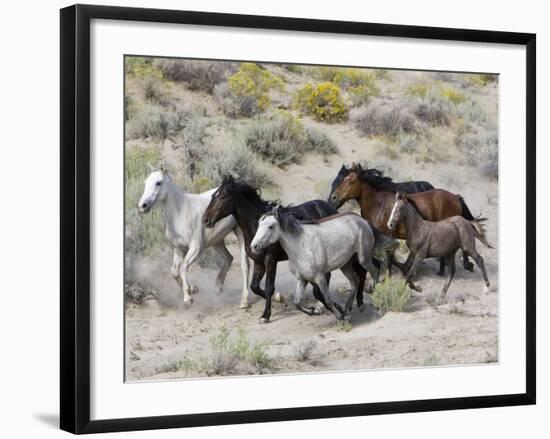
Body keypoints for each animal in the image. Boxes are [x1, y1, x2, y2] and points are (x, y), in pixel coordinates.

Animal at [138, 167, 252, 308]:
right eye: (146, 182)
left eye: (158, 183)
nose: (142, 206)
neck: (181, 213)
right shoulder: (178, 248)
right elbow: (174, 272)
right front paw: (193, 290)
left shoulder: (196, 248)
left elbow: (183, 267)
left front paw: (188, 298)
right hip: (217, 240)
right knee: (228, 258)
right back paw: (218, 288)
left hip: (240, 234)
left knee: (245, 265)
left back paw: (244, 300)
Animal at [252, 208, 382, 322]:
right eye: (258, 225)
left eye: (270, 226)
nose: (254, 246)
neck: (301, 246)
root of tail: (363, 220)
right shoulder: (302, 279)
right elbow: (297, 302)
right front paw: (313, 310)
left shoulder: (319, 277)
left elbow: (327, 299)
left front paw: (339, 316)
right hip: (345, 265)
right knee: (355, 282)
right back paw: (347, 311)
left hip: (363, 258)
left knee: (374, 271)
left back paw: (376, 302)